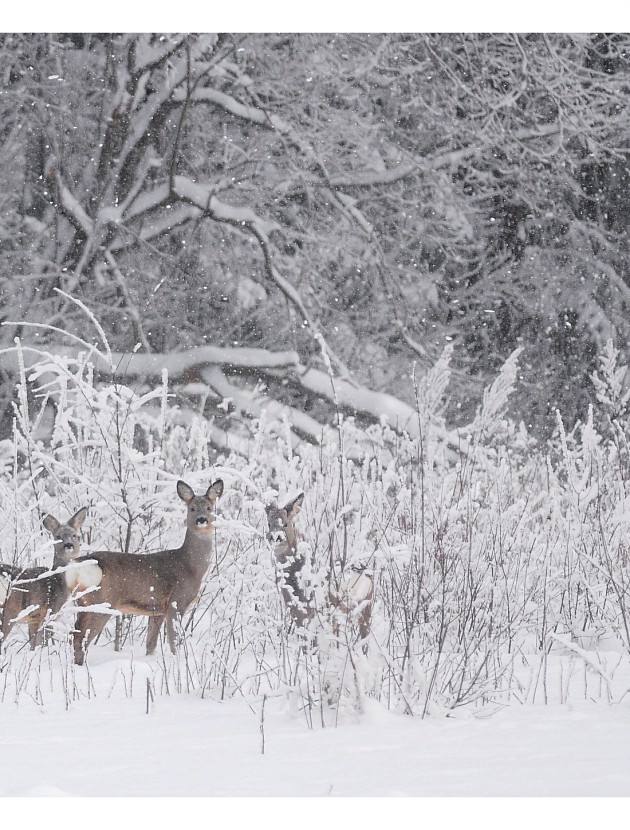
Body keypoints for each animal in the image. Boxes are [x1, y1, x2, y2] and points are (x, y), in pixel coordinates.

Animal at [0, 510, 89, 652]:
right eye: (58, 536)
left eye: (75, 535)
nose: (68, 545)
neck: (58, 582)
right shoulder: (48, 614)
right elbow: (41, 644)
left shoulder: (34, 619)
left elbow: (33, 645)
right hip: (9, 611)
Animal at [66, 478, 223, 668]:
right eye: (191, 508)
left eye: (209, 508)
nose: (201, 519)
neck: (190, 566)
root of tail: (79, 566)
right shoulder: (176, 602)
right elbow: (174, 641)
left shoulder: (157, 610)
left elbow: (151, 644)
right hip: (102, 602)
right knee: (80, 639)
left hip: (83, 602)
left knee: (73, 635)